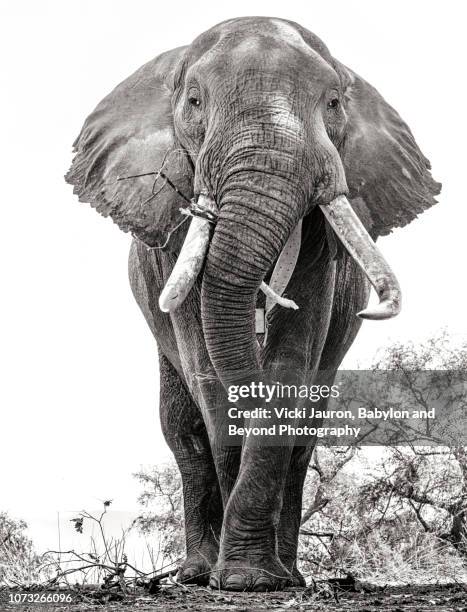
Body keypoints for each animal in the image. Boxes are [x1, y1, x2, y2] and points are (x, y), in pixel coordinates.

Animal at [66, 16, 442, 592]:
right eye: (194, 101)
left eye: (334, 102)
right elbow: (208, 375)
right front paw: (237, 577)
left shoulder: (320, 251)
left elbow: (291, 361)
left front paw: (254, 579)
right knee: (183, 433)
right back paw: (197, 572)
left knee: (304, 441)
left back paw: (289, 575)